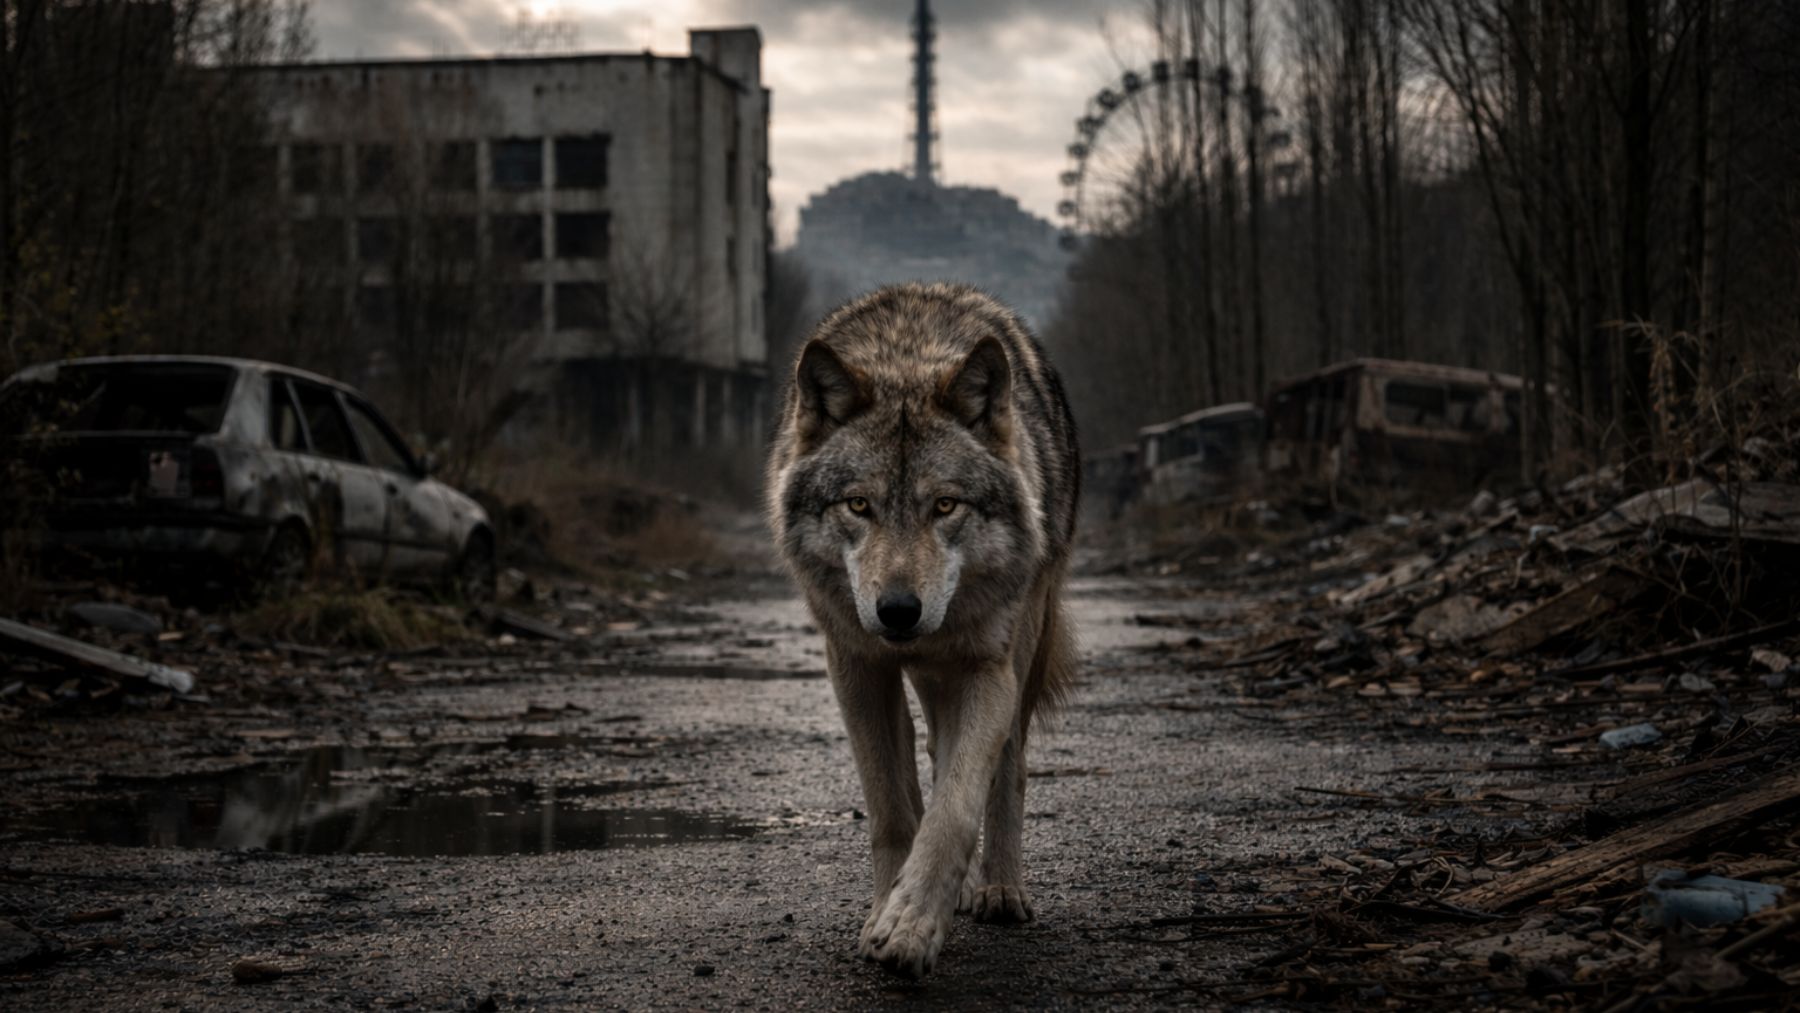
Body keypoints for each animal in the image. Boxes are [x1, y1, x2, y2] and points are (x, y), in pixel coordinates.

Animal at [766, 282, 1080, 978]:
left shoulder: (987, 669)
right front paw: (890, 908)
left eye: (945, 505)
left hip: (1020, 646)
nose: (898, 611)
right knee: (934, 750)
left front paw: (911, 926)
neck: (907, 356)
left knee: (1007, 767)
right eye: (859, 505)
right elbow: (891, 807)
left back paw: (998, 888)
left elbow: (956, 808)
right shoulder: (856, 668)